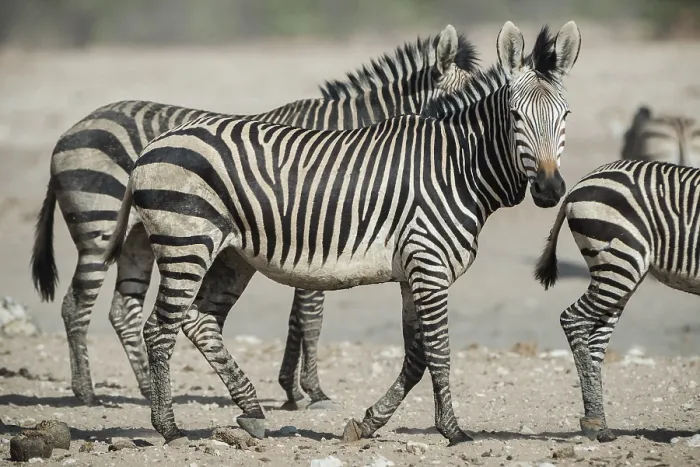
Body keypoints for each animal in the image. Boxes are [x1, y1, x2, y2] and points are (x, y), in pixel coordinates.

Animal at [30, 25, 477, 408]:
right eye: (460, 106)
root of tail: (70, 130)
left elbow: (298, 318)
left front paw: (292, 391)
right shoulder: (316, 231)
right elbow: (311, 317)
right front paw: (313, 391)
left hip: (137, 237)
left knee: (122, 310)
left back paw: (144, 389)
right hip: (100, 224)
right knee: (76, 304)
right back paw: (87, 393)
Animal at [103, 20, 581, 445]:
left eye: (566, 115)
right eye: (515, 116)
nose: (549, 189)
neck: (456, 166)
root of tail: (155, 144)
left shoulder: (413, 272)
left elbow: (416, 357)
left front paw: (367, 424)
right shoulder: (429, 266)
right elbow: (439, 352)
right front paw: (454, 432)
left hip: (231, 256)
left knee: (200, 322)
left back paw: (252, 412)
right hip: (186, 244)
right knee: (159, 330)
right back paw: (169, 429)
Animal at [533, 158, 700, 442]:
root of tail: (578, 185)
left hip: (618, 270)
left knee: (594, 340)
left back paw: (598, 423)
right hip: (621, 260)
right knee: (572, 318)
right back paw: (595, 422)